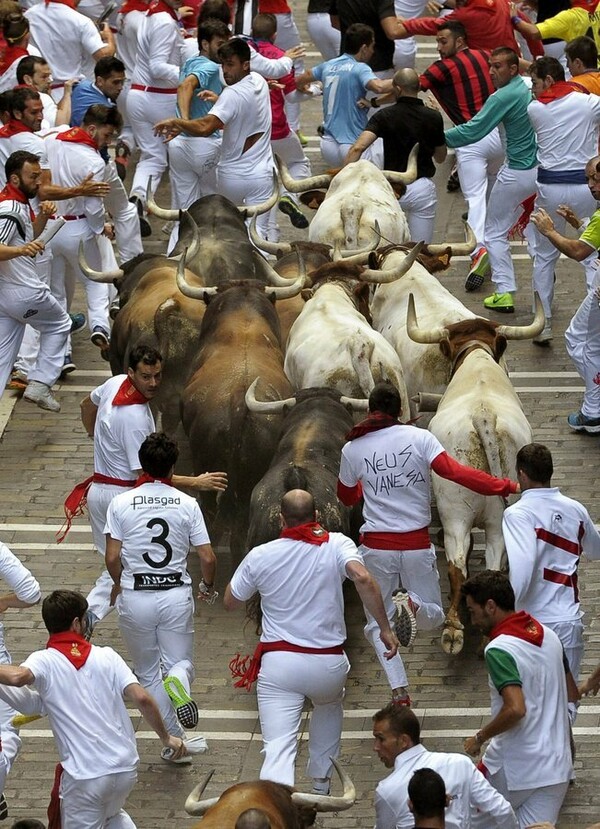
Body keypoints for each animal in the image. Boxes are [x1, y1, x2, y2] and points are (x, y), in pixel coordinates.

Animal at [408, 292, 544, 652]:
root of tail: (484, 417)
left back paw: (453, 628)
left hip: (455, 513)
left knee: (457, 563)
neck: (477, 361)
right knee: (495, 558)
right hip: (498, 518)